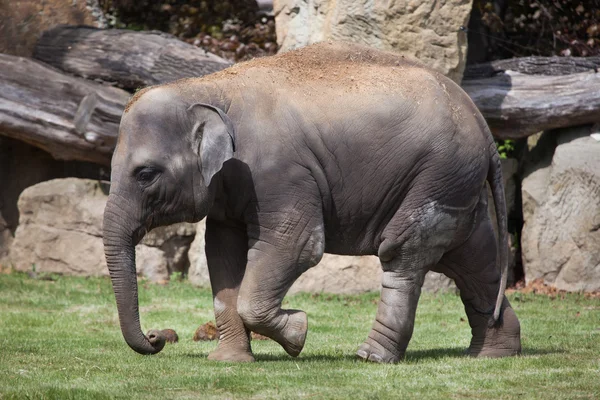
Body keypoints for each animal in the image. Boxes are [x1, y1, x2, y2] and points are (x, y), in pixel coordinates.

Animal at [103, 39, 520, 362]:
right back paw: (493, 354)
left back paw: (371, 357)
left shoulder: (281, 172)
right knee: (473, 257)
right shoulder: (231, 187)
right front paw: (228, 361)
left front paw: (298, 333)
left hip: (438, 172)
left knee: (403, 252)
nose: (157, 338)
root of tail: (481, 123)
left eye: (146, 174)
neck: (206, 89)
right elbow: (222, 252)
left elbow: (297, 244)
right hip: (456, 182)